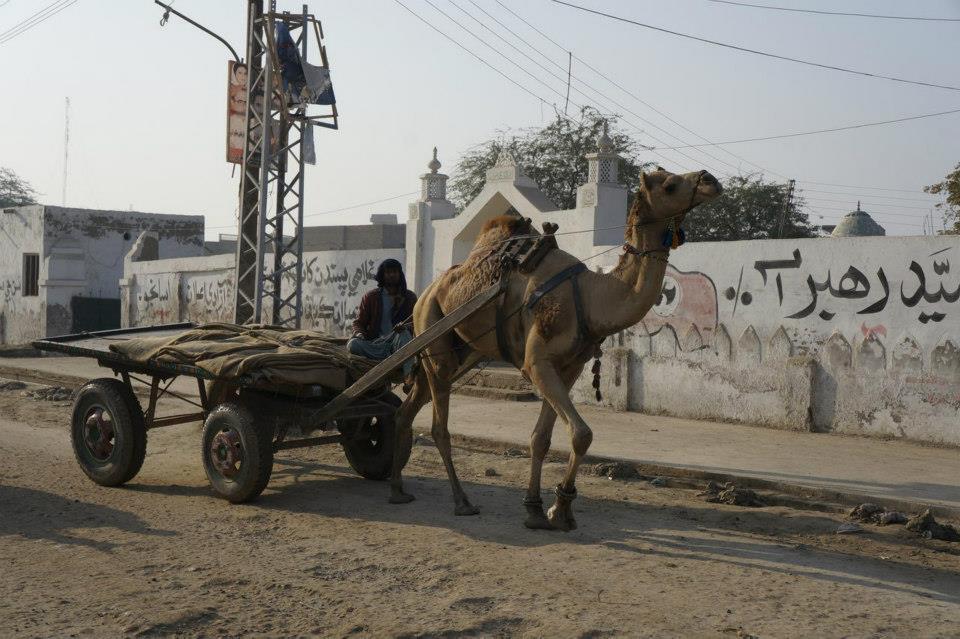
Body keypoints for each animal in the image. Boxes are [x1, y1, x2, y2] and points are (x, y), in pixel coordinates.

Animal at [388, 168, 720, 532]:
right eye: (670, 185)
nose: (711, 179)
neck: (590, 296)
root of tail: (424, 292)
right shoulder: (537, 362)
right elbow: (581, 433)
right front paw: (559, 508)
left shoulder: (569, 365)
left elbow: (542, 438)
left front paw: (539, 509)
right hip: (433, 332)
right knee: (438, 426)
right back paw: (461, 501)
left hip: (456, 350)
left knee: (408, 409)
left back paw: (397, 488)